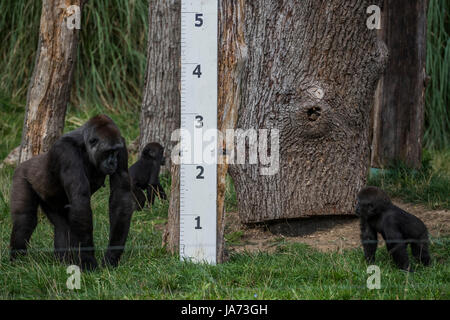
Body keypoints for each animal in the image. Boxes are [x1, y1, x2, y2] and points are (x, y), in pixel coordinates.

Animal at [9, 115, 134, 270]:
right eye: (108, 152)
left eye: (115, 152)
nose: (113, 163)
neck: (86, 147)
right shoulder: (66, 152)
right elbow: (80, 200)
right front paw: (88, 261)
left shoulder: (122, 145)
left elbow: (121, 196)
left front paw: (112, 256)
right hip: (21, 175)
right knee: (25, 220)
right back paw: (17, 261)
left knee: (62, 226)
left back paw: (63, 262)